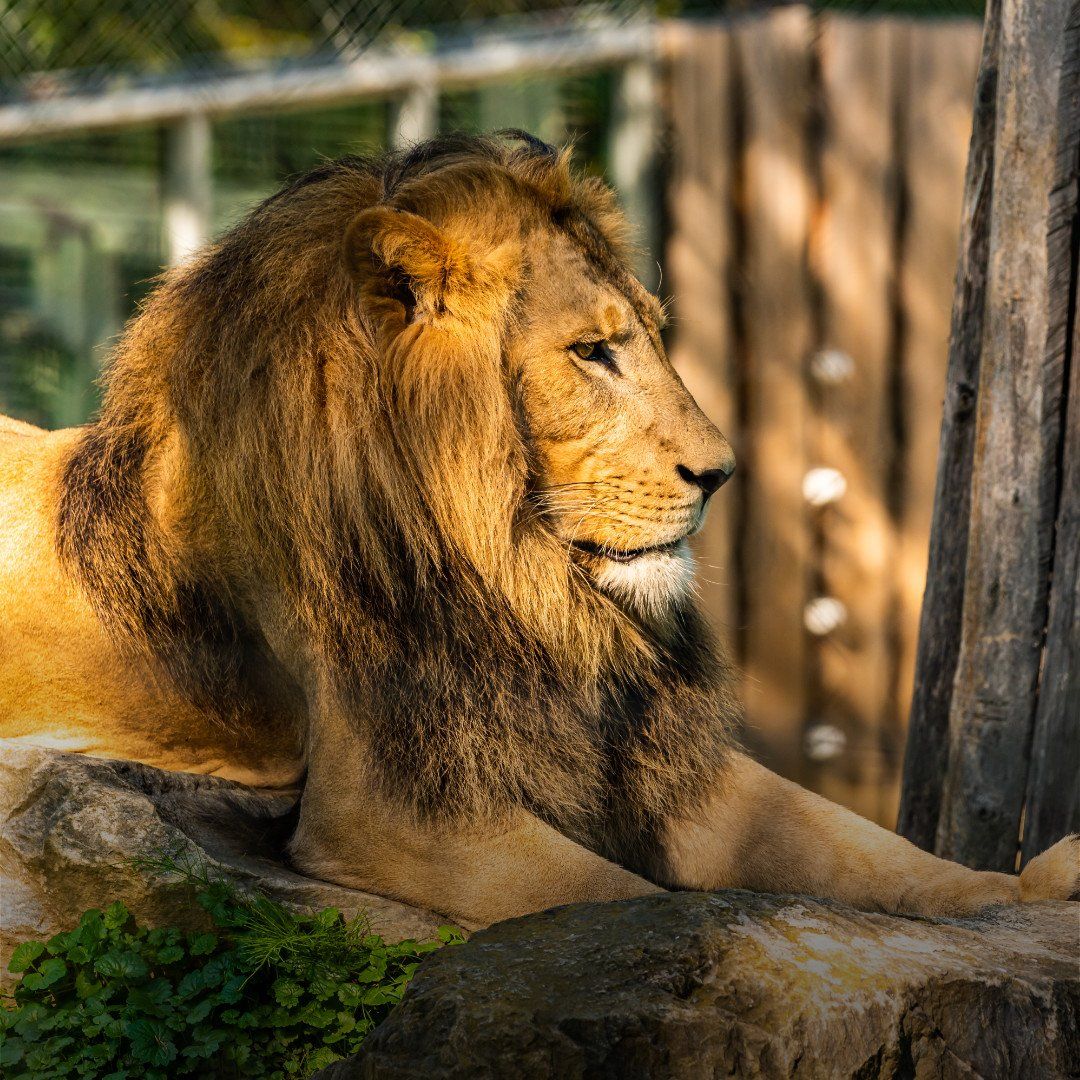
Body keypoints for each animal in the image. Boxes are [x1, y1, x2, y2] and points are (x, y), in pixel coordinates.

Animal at [0, 133, 1075, 928]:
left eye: (650, 334)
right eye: (592, 352)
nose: (721, 473)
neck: (523, 586)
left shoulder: (658, 761)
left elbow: (872, 852)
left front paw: (1026, 891)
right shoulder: (395, 809)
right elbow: (618, 900)